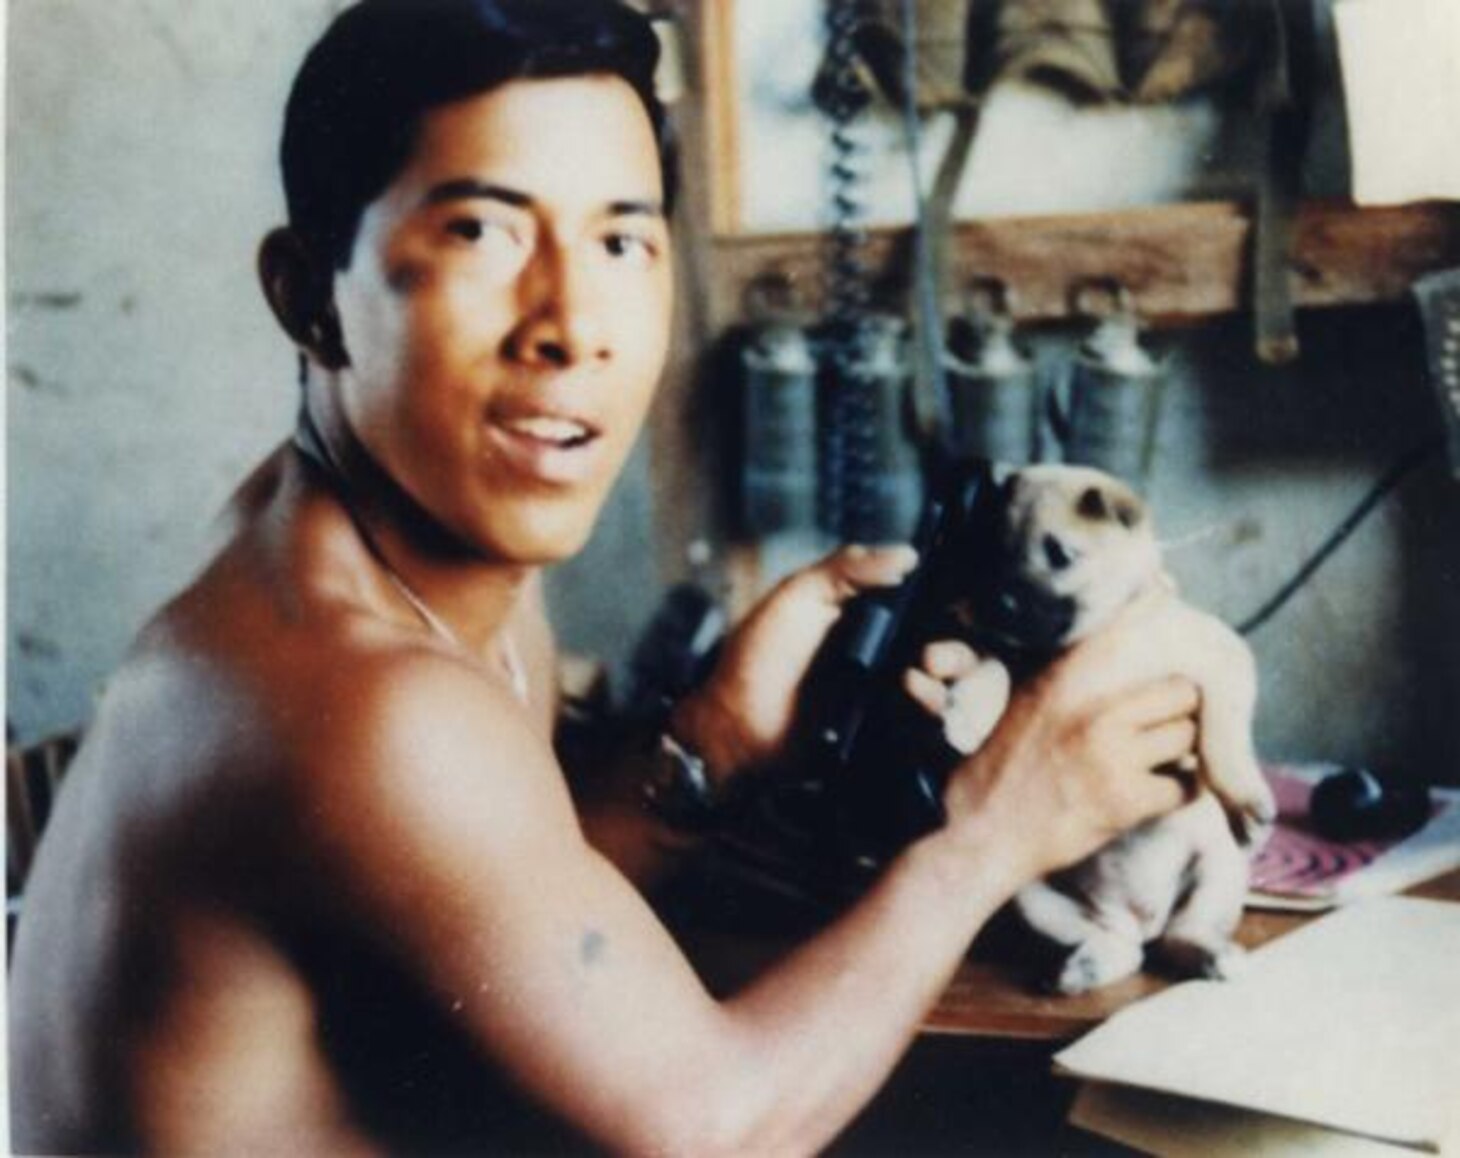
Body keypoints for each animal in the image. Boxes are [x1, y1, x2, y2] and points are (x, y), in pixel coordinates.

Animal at [922, 464, 1278, 987]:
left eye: (1059, 554)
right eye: (991, 551)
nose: (996, 604)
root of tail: (1140, 918)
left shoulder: (1219, 656)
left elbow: (1222, 733)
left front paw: (1246, 803)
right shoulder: (1015, 652)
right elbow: (994, 664)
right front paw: (970, 710)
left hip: (1220, 869)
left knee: (1180, 934)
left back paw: (1212, 954)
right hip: (1029, 896)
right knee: (1125, 949)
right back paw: (1088, 965)